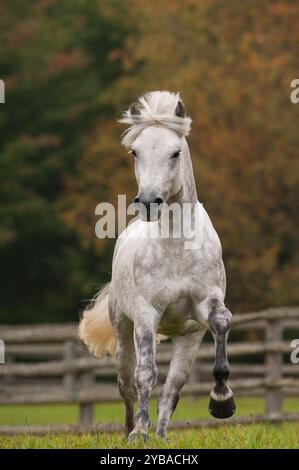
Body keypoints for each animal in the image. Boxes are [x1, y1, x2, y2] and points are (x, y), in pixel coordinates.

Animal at [80, 91, 237, 440]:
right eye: (135, 151)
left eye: (175, 152)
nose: (149, 202)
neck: (176, 247)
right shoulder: (145, 315)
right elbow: (145, 375)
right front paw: (139, 431)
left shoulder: (205, 307)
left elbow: (221, 322)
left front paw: (222, 401)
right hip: (122, 329)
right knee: (127, 381)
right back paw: (130, 430)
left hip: (188, 339)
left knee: (173, 389)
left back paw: (162, 435)